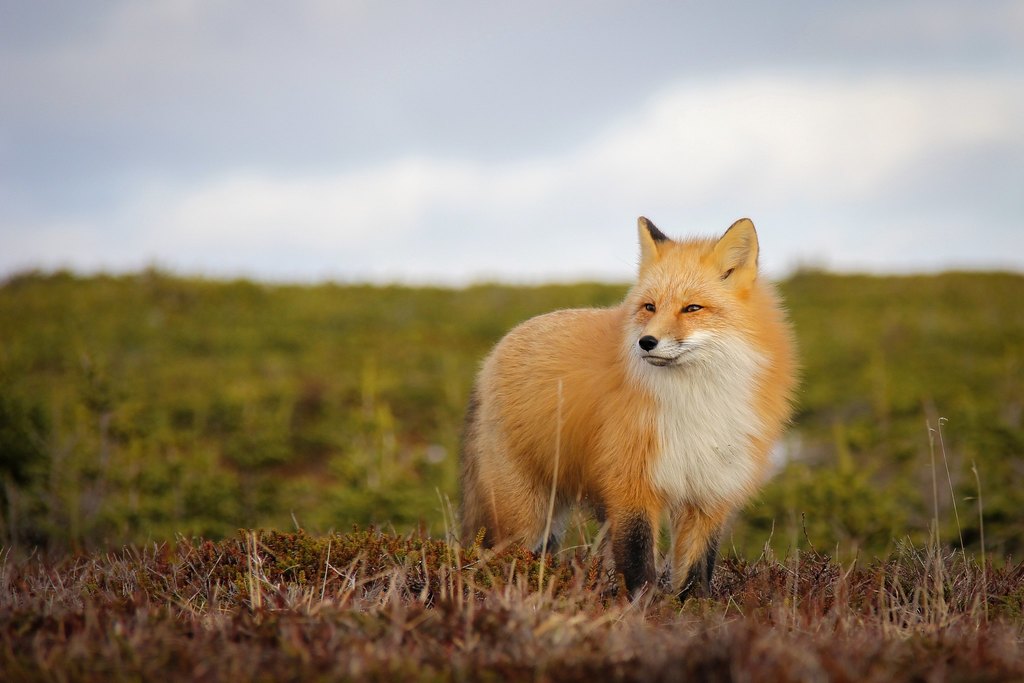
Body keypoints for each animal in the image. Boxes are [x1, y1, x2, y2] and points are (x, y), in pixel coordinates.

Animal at [460, 219, 794, 598]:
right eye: (650, 307)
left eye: (692, 308)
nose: (646, 342)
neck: (695, 401)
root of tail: (495, 351)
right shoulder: (631, 483)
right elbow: (637, 560)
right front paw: (642, 607)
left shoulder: (710, 489)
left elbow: (697, 568)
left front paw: (696, 606)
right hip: (524, 515)